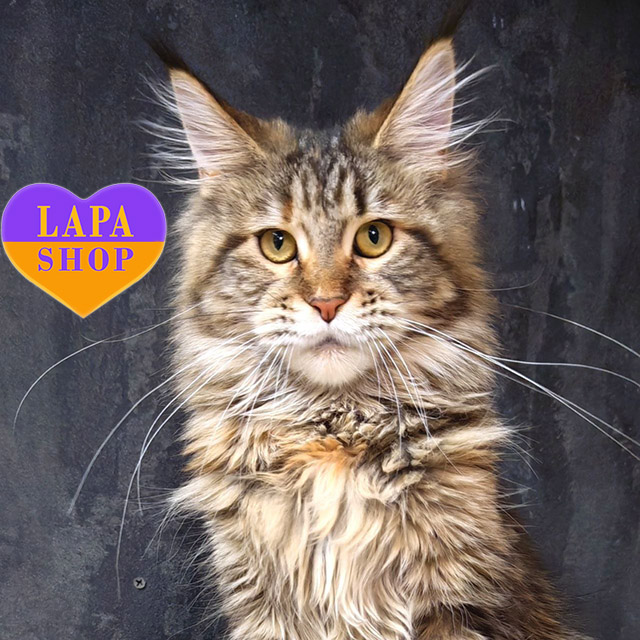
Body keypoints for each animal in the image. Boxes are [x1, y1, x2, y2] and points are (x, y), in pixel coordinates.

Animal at [157, 37, 589, 640]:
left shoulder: (461, 599)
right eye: (276, 245)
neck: (333, 436)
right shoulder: (264, 607)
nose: (326, 303)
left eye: (374, 237)